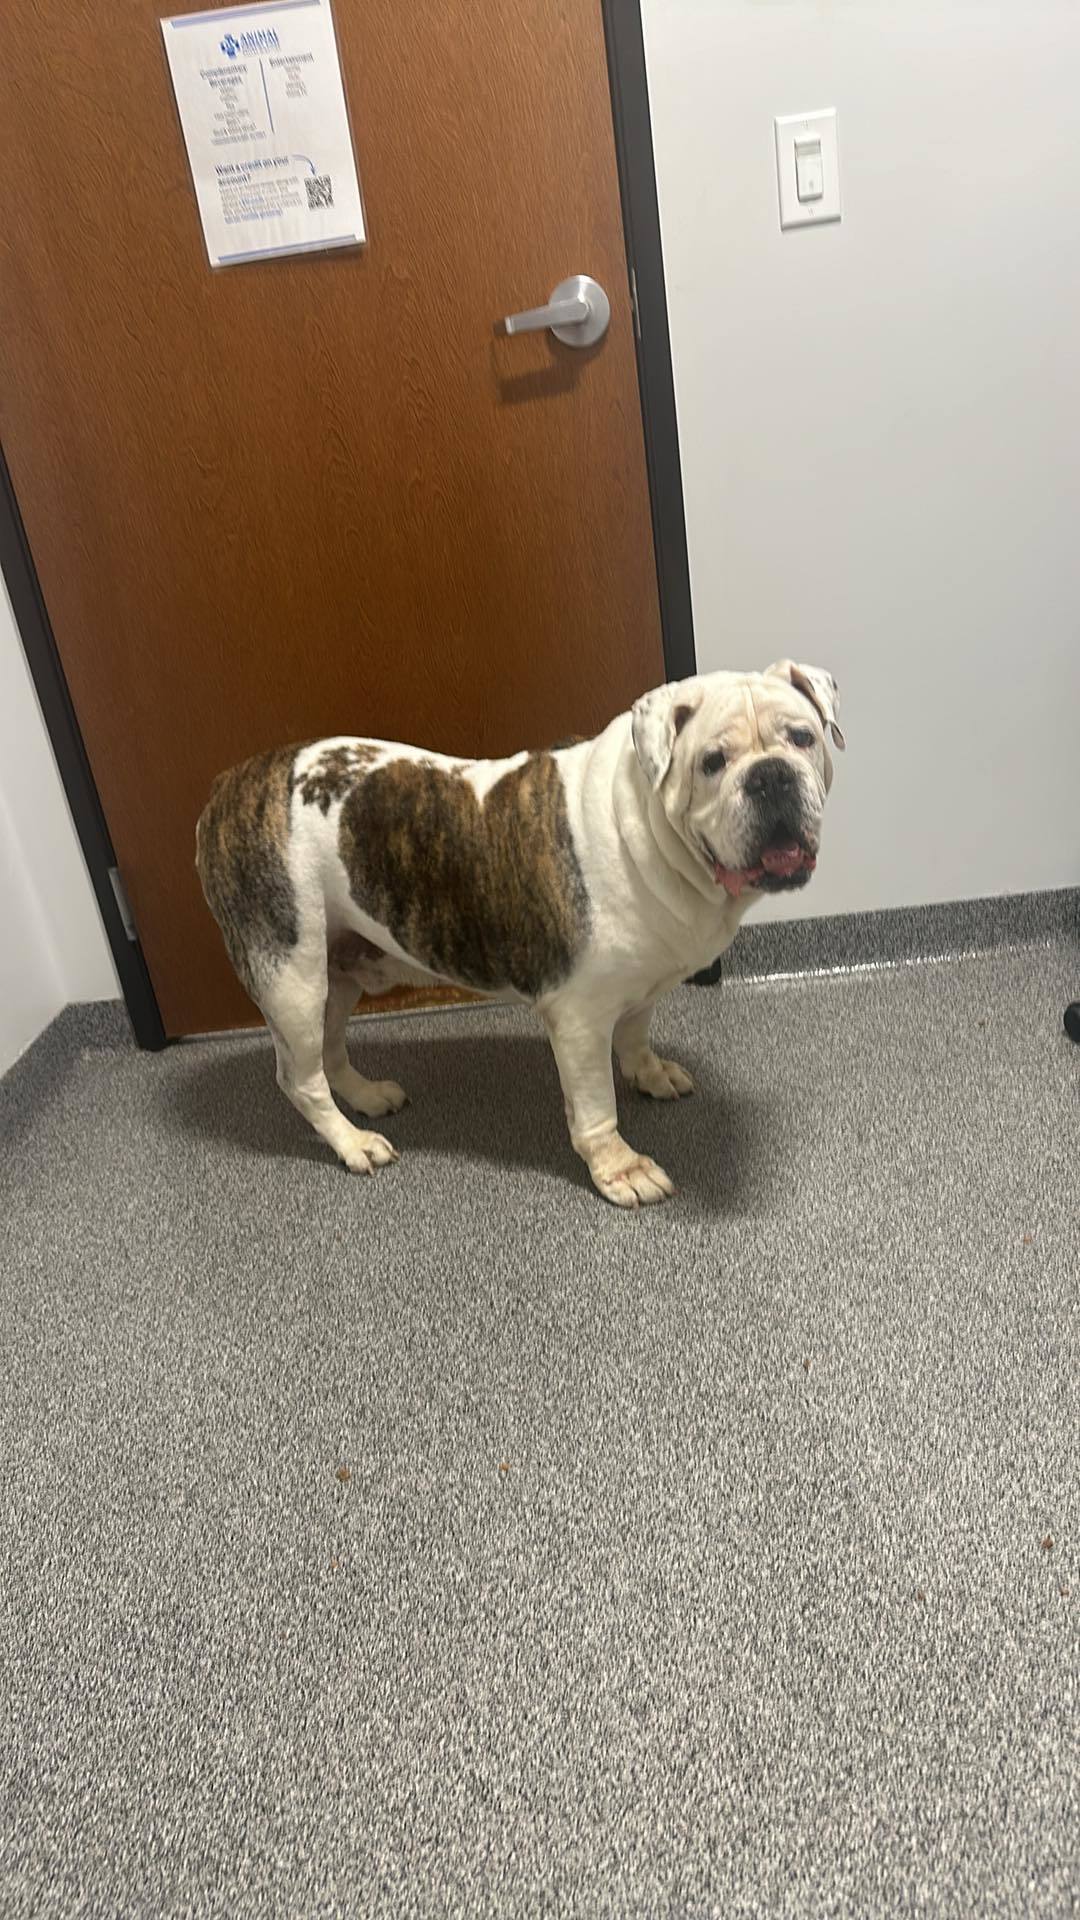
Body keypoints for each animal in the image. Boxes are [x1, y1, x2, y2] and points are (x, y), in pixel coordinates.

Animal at [197, 656, 845, 1198]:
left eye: (802, 738)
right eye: (712, 762)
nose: (771, 776)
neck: (651, 828)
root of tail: (225, 787)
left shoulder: (643, 983)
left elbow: (636, 1035)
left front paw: (650, 1072)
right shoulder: (579, 1019)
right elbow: (596, 1106)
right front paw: (619, 1169)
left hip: (338, 972)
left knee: (330, 1052)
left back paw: (365, 1096)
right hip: (292, 979)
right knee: (299, 1076)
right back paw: (351, 1143)